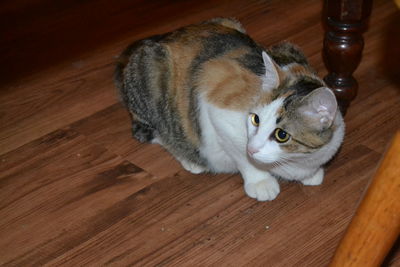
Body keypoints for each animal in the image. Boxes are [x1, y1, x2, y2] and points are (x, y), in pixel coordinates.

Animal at [114, 17, 346, 202]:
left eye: (282, 135)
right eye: (255, 119)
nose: (253, 149)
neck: (299, 160)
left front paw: (312, 175)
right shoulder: (217, 106)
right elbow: (242, 156)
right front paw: (260, 181)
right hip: (152, 76)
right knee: (151, 131)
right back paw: (189, 158)